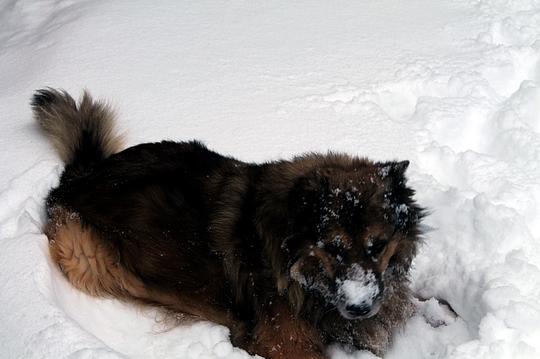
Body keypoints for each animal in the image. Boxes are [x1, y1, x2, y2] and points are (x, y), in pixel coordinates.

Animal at [32, 88, 426, 358]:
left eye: (377, 246)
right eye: (333, 248)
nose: (360, 308)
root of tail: (82, 174)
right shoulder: (285, 342)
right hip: (86, 255)